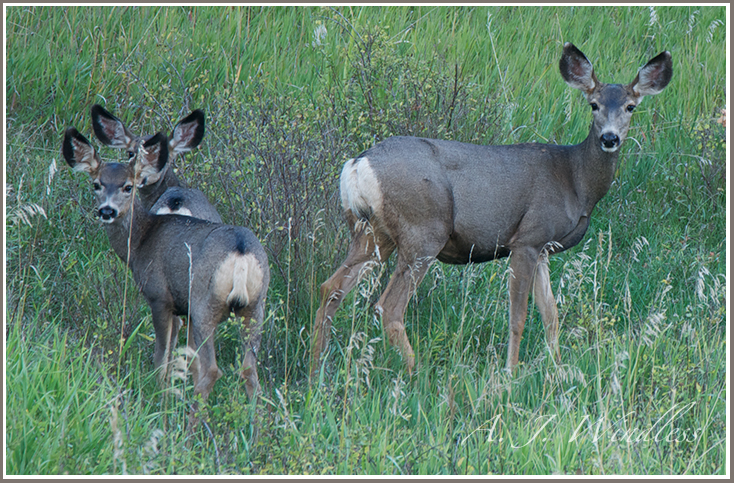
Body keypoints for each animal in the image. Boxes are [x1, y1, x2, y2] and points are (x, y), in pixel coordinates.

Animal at [62, 127, 270, 400]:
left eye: (127, 187)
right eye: (97, 184)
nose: (107, 211)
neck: (142, 241)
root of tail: (241, 250)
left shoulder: (159, 296)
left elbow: (161, 356)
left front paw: (159, 391)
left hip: (205, 304)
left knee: (212, 369)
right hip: (255, 306)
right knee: (250, 371)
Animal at [310, 43, 672, 376]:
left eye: (630, 107)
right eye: (593, 104)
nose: (609, 138)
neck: (575, 179)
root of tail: (357, 164)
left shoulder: (543, 247)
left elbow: (551, 313)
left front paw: (556, 369)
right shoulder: (526, 239)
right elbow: (519, 316)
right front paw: (511, 373)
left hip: (373, 233)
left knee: (331, 288)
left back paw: (317, 370)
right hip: (423, 231)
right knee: (389, 307)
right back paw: (416, 374)